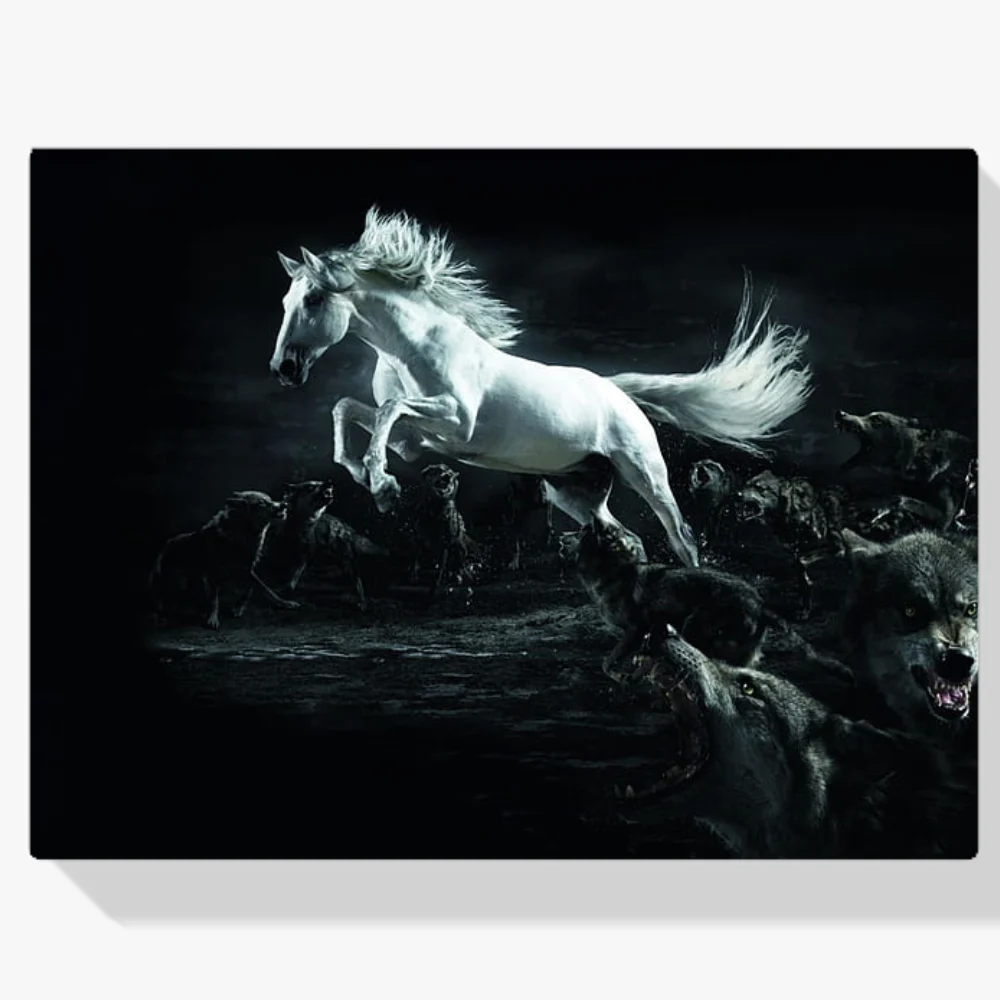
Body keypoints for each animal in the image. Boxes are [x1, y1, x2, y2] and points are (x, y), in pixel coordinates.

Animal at [149, 491, 299, 630]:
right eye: (262, 504)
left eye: (270, 499)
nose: (284, 504)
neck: (240, 537)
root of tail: (166, 543)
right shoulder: (211, 574)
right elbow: (214, 600)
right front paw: (213, 619)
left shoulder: (247, 570)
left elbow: (263, 589)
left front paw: (283, 603)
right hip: (168, 581)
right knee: (158, 599)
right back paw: (160, 617)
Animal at [268, 208, 812, 568]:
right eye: (286, 300)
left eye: (313, 299)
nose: (283, 368)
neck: (413, 346)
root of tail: (617, 392)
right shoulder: (415, 441)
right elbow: (349, 409)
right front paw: (370, 477)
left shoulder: (457, 423)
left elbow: (387, 409)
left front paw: (381, 485)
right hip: (577, 493)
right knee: (629, 538)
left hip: (645, 473)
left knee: (682, 537)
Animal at [574, 518, 769, 681]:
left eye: (584, 530)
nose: (569, 534)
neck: (612, 571)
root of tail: (761, 606)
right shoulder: (652, 628)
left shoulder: (635, 629)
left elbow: (608, 662)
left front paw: (624, 676)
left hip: (693, 627)